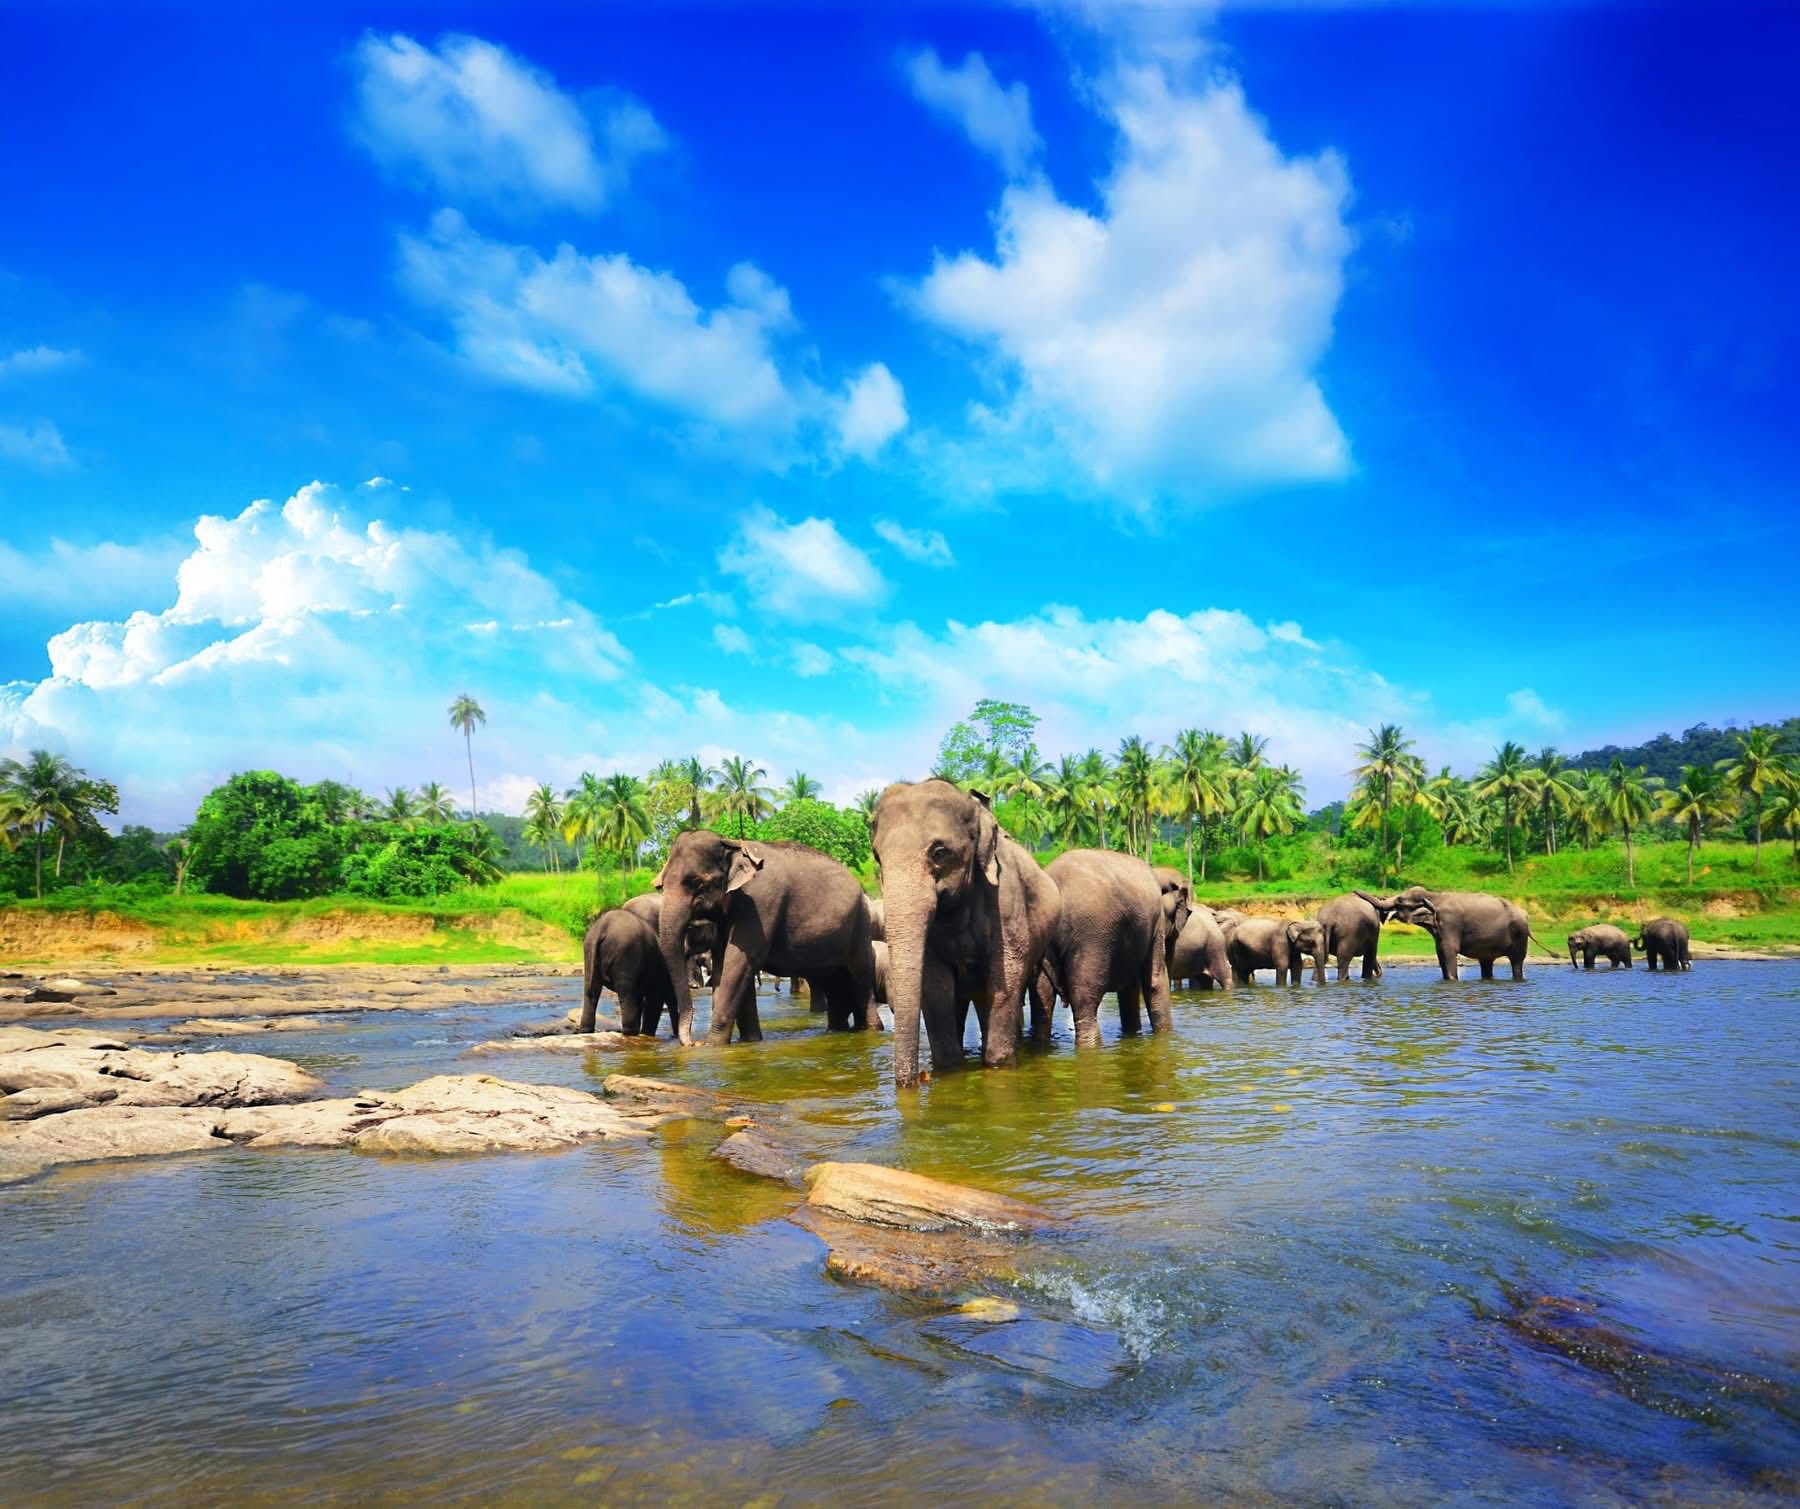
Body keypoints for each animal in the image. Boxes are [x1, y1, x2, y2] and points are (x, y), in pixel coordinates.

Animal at [654, 830, 876, 1046]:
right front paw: (749, 1041)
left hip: (861, 925)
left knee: (861, 978)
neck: (730, 844)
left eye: (697, 883)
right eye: (661, 885)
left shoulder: (760, 902)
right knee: (834, 984)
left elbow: (739, 962)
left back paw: (873, 1030)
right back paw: (837, 1031)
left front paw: (711, 1046)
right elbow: (724, 966)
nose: (692, 1043)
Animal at [871, 780, 1060, 1087]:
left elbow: (1006, 975)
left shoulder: (1006, 900)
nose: (919, 1079)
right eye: (877, 857)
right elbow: (935, 984)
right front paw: (948, 1068)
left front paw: (998, 1065)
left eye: (939, 852)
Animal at [1359, 887, 1533, 980]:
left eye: (1400, 900)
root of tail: (1525, 914)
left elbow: (1448, 950)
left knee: (1517, 961)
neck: (1434, 896)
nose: (1355, 891)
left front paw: (1451, 980)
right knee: (1486, 962)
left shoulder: (1450, 923)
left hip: (1520, 935)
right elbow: (1440, 952)